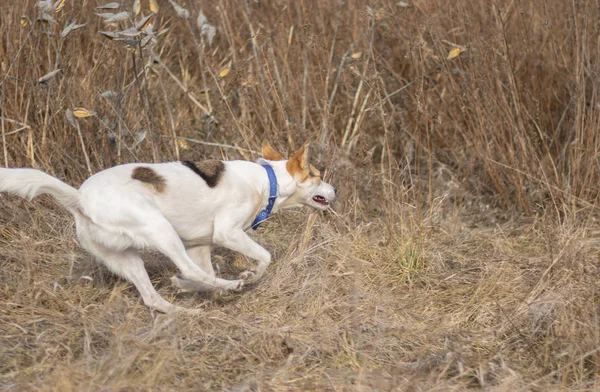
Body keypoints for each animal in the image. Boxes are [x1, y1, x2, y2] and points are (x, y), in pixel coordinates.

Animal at [0, 141, 338, 312]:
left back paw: (184, 309)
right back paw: (229, 285)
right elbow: (264, 257)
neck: (268, 181)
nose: (335, 190)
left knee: (156, 295)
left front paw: (190, 288)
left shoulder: (201, 246)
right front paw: (249, 276)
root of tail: (81, 198)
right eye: (317, 175)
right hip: (161, 231)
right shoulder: (227, 232)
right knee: (188, 269)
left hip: (126, 258)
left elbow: (204, 274)